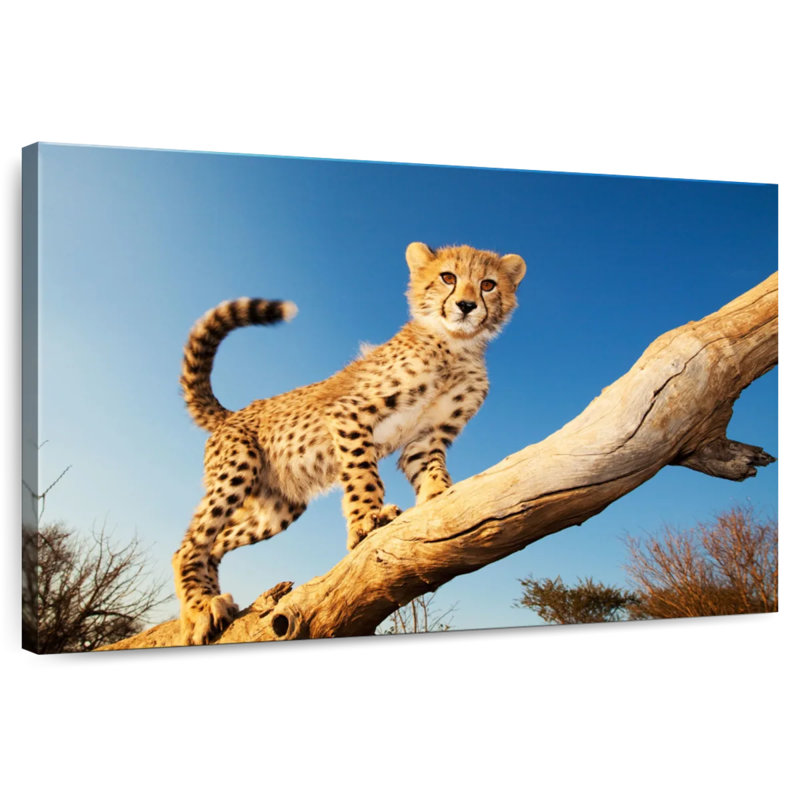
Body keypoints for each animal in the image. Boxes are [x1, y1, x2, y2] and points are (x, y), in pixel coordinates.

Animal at [173, 242, 526, 645]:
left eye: (488, 284)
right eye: (447, 277)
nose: (466, 306)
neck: (455, 345)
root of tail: (233, 413)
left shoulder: (427, 438)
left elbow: (432, 470)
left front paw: (438, 497)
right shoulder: (348, 413)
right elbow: (363, 474)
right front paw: (368, 521)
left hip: (277, 510)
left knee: (214, 544)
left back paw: (208, 606)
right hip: (237, 469)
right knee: (188, 545)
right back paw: (201, 610)